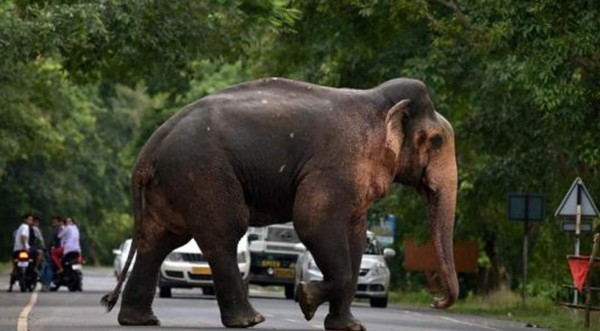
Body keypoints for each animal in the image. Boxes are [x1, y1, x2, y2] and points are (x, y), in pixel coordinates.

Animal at [102, 77, 460, 331]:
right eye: (437, 140)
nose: (435, 301)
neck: (377, 103)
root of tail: (149, 149)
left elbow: (356, 238)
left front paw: (349, 326)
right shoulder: (334, 168)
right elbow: (312, 222)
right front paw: (306, 299)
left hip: (173, 182)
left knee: (159, 239)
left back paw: (140, 321)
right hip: (201, 172)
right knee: (223, 233)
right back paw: (250, 320)